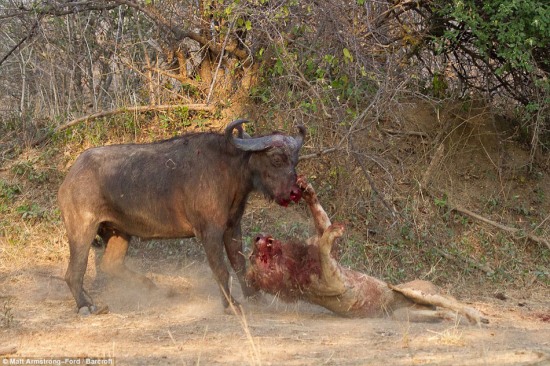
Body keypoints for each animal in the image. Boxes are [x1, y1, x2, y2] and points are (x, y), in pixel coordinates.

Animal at [59, 120, 306, 314]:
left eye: (295, 160)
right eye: (276, 159)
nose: (295, 192)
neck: (230, 169)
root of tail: (71, 177)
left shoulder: (233, 226)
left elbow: (239, 263)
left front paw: (254, 297)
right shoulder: (210, 231)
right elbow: (221, 268)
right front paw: (231, 304)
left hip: (119, 232)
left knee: (111, 265)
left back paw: (151, 287)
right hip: (83, 230)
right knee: (74, 272)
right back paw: (86, 305)